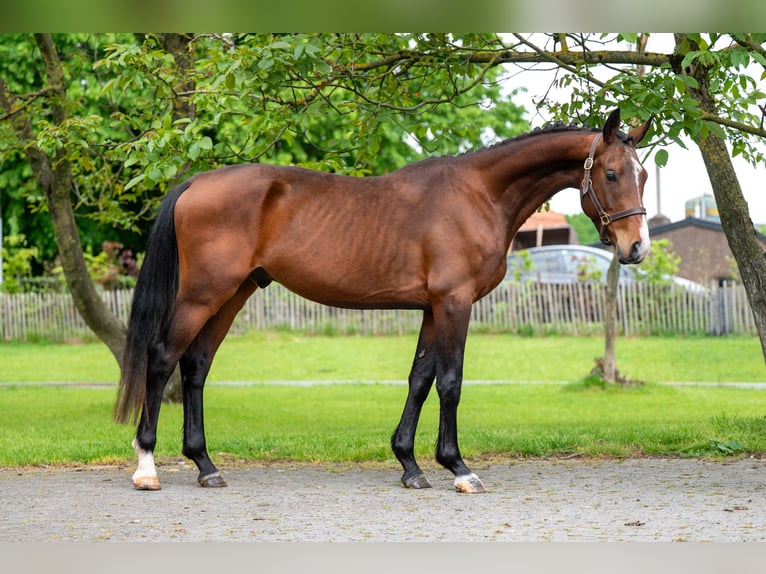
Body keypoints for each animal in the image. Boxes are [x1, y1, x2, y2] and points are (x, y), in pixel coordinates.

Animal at [114, 108, 652, 493]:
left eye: (643, 175)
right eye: (610, 174)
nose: (636, 248)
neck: (478, 194)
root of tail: (196, 182)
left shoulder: (433, 308)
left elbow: (419, 380)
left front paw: (410, 464)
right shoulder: (454, 304)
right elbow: (450, 383)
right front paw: (458, 468)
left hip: (233, 293)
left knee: (196, 366)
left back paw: (205, 465)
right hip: (203, 293)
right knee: (162, 358)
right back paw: (147, 467)